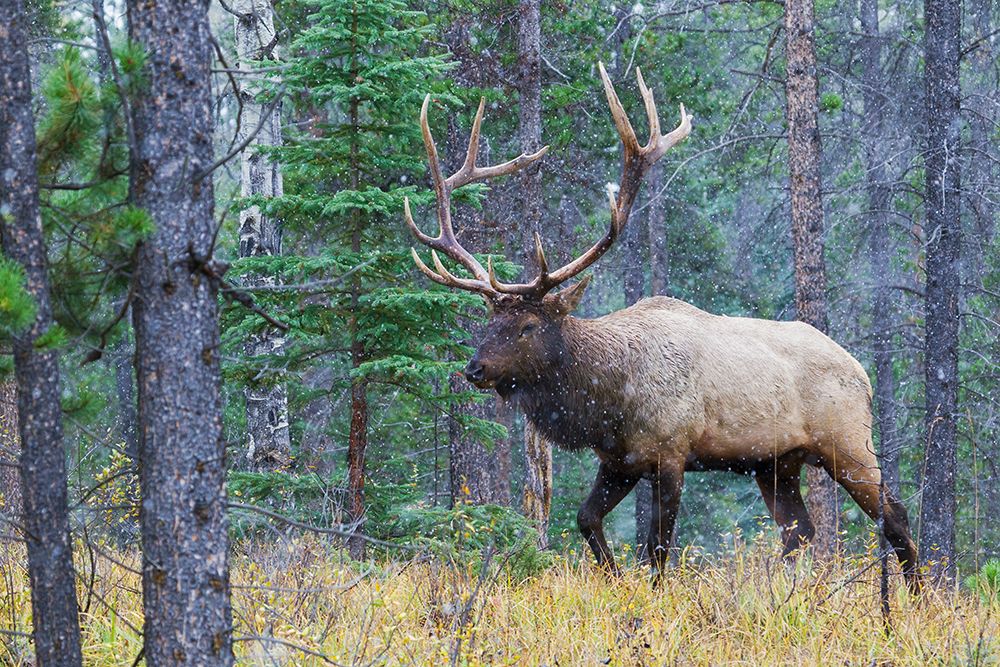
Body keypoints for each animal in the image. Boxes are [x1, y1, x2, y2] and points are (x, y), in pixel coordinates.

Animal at [403, 63, 919, 590]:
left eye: (527, 325)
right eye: (490, 320)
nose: (475, 369)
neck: (608, 400)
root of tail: (862, 373)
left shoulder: (671, 453)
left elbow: (657, 549)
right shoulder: (619, 461)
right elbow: (587, 520)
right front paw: (614, 581)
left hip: (847, 441)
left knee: (894, 515)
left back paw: (915, 597)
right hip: (776, 463)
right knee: (800, 532)